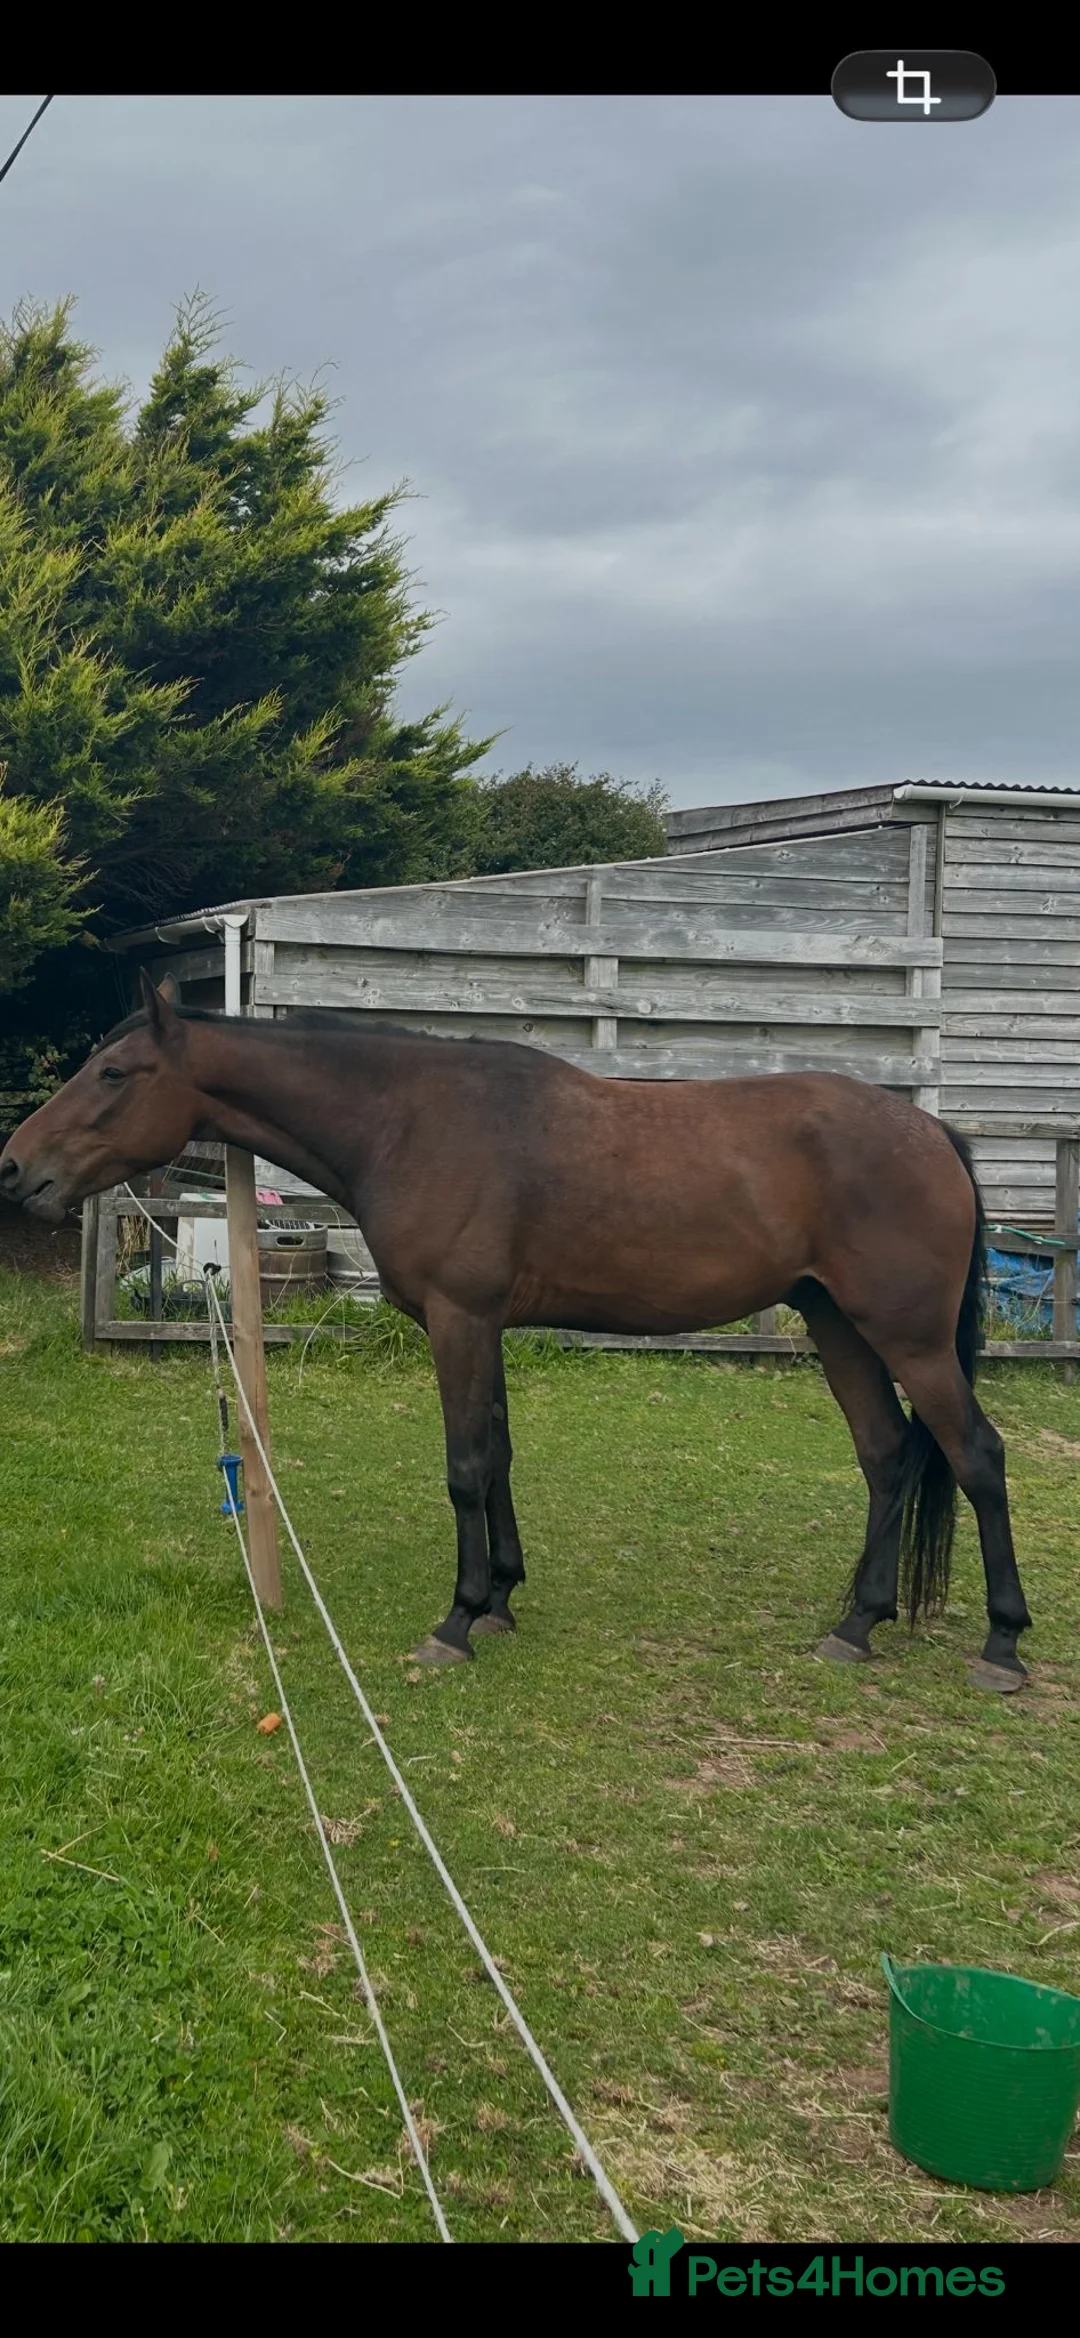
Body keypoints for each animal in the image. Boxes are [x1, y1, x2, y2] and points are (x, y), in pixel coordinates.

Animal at [0, 971, 1033, 1692]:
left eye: (114, 1073)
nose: (15, 1168)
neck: (409, 1120)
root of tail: (932, 1135)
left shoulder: (458, 1321)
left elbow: (465, 1465)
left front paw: (456, 1621)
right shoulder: (485, 1324)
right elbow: (496, 1454)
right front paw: (500, 1597)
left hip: (906, 1340)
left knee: (975, 1455)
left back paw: (1002, 1643)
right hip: (840, 1327)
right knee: (888, 1456)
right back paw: (857, 1625)